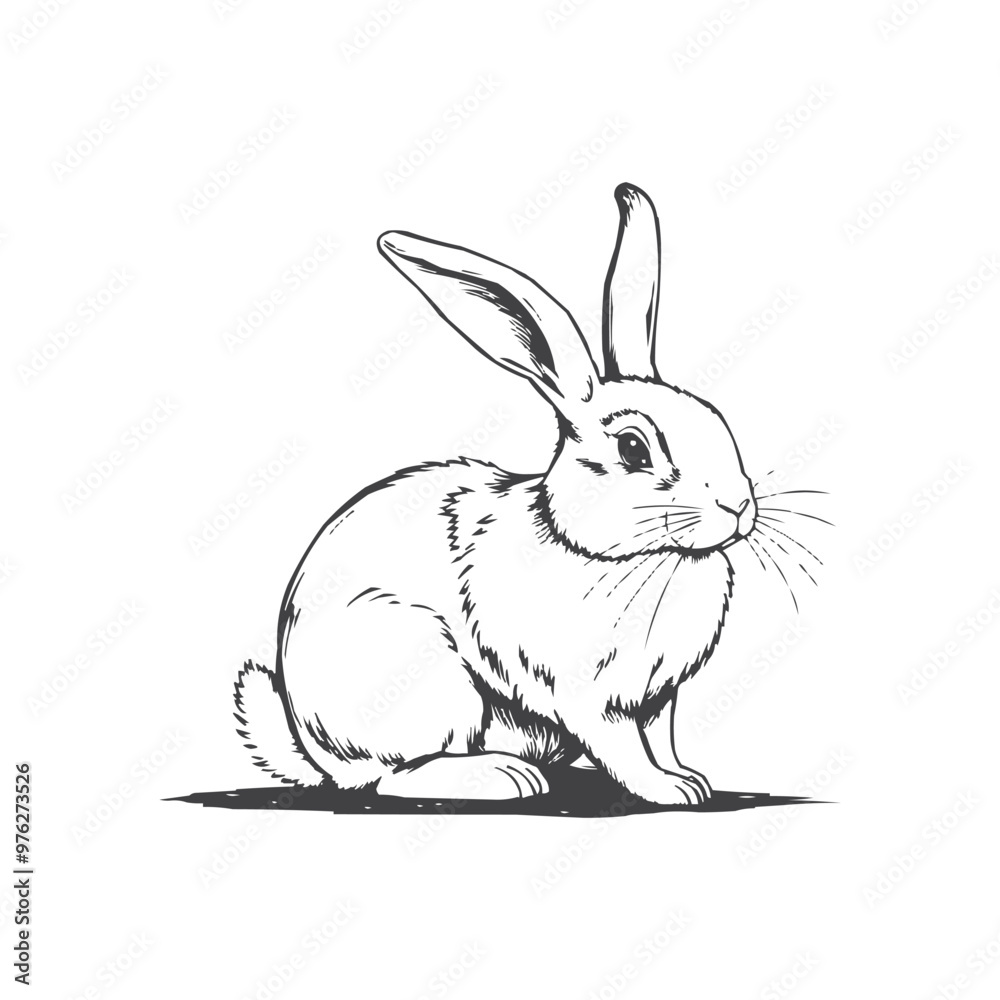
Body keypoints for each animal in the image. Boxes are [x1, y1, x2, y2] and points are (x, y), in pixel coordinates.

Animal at [234, 183, 757, 806]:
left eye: (717, 419)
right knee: (394, 777)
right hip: (434, 684)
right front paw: (668, 791)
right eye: (633, 448)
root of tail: (315, 747)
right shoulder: (591, 699)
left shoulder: (657, 697)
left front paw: (689, 779)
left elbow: (662, 740)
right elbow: (624, 751)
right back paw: (507, 778)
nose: (738, 506)